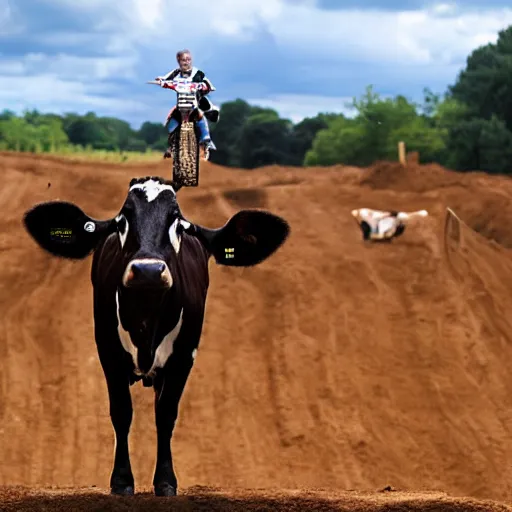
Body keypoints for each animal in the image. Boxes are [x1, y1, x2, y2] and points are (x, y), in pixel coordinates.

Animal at [23, 176, 292, 496]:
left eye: (177, 223)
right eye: (122, 221)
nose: (147, 270)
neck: (146, 320)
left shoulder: (184, 356)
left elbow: (165, 414)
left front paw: (165, 480)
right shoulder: (108, 352)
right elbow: (121, 412)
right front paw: (122, 480)